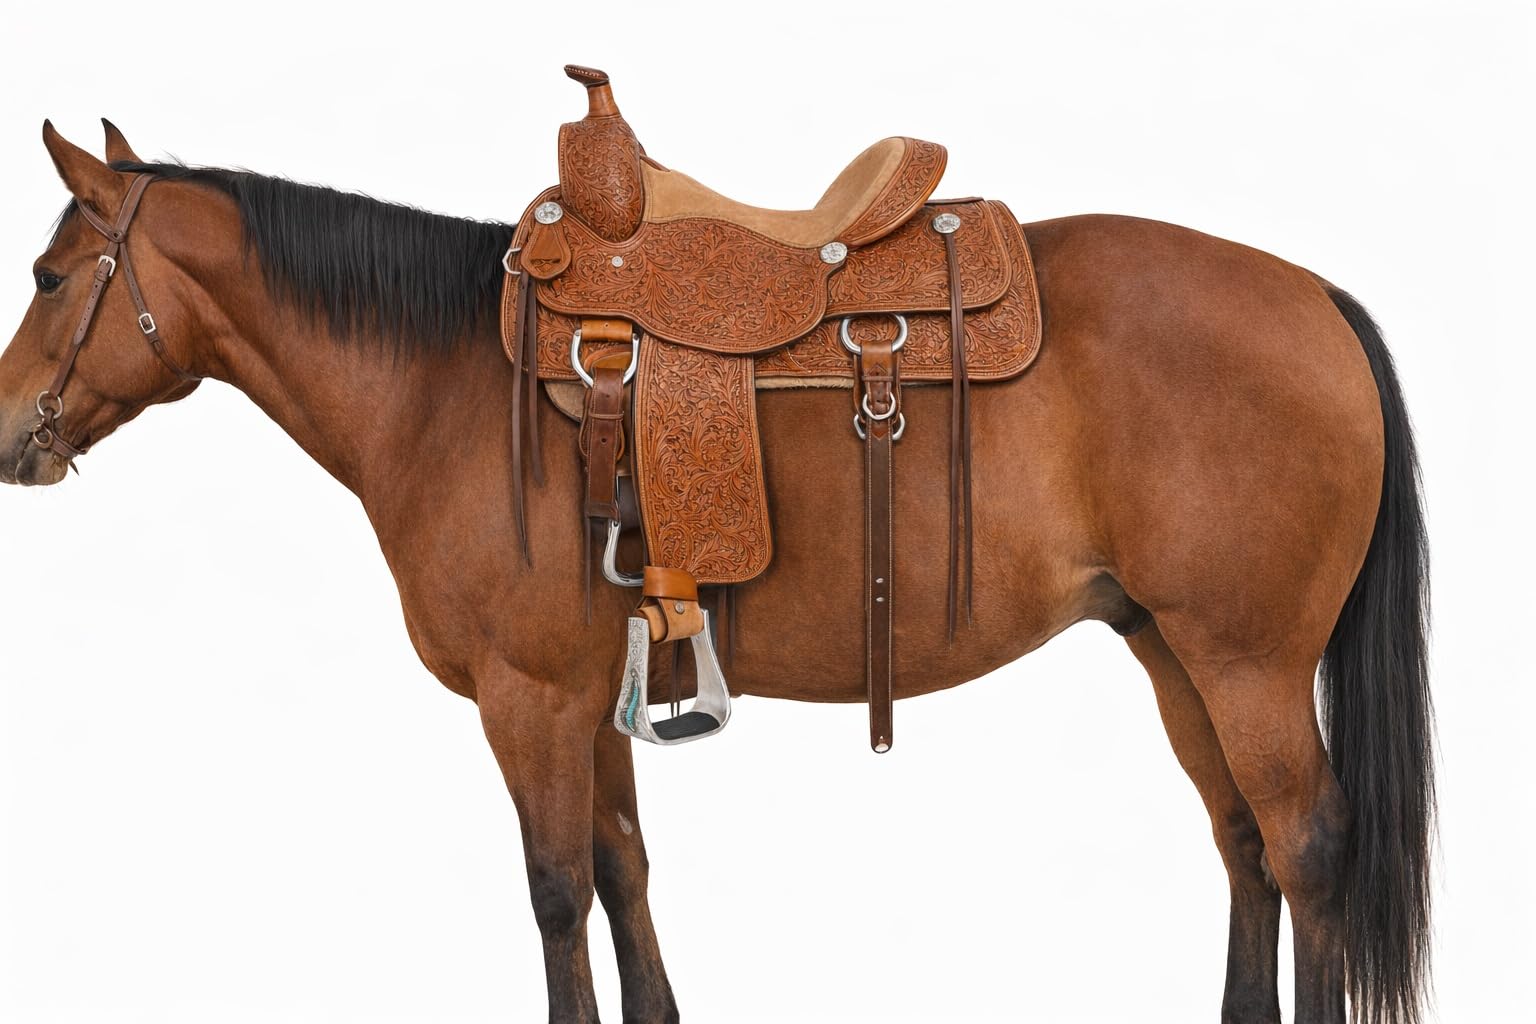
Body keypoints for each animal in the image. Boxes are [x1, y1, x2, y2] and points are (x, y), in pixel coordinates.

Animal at [0, 121, 1433, 1024]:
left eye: (51, 274)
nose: (10, 430)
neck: (441, 381)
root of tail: (1316, 295)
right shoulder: (591, 698)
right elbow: (623, 870)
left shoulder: (528, 700)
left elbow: (555, 891)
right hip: (1173, 652)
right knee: (1244, 846)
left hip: (1248, 663)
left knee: (1307, 847)